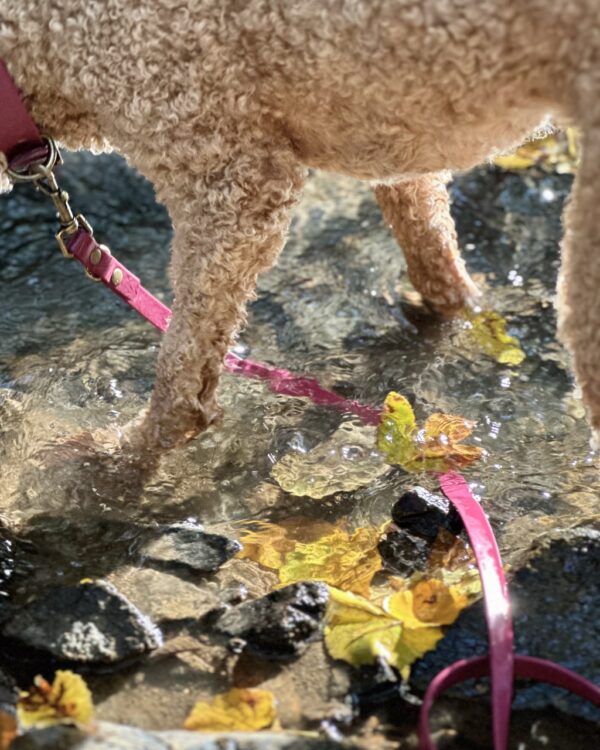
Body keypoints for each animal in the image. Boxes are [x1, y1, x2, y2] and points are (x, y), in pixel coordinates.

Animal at [0, 2, 596, 452]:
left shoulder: (230, 181)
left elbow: (180, 376)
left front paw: (114, 463)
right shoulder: (395, 137)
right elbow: (435, 256)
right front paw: (459, 318)